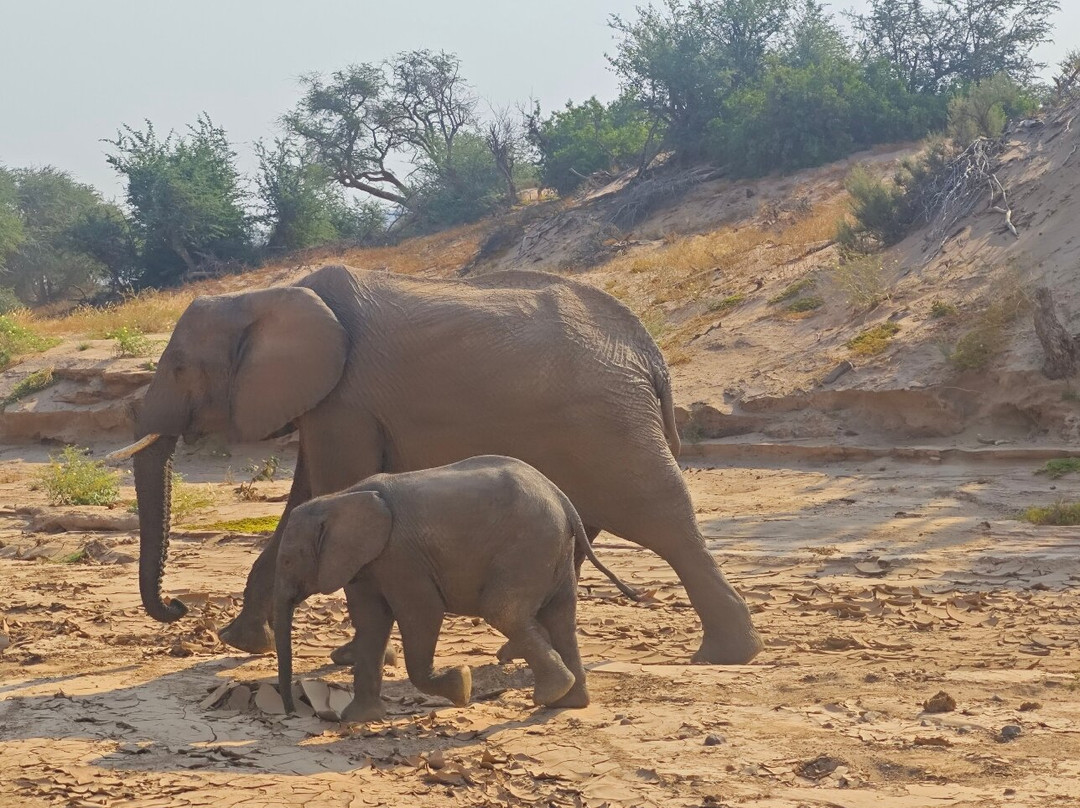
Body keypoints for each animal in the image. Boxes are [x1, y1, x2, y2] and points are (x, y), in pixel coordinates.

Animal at [118, 263, 763, 665]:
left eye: (179, 367)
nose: (176, 608)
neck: (270, 293)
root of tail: (651, 355)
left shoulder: (346, 399)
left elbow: (331, 489)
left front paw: (344, 656)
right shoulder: (331, 404)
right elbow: (308, 498)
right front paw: (242, 642)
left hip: (609, 424)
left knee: (662, 522)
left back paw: (726, 655)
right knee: (588, 523)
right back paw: (517, 652)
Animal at [275, 455, 627, 720]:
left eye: (289, 561)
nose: (291, 711)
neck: (339, 498)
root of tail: (562, 498)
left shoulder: (401, 557)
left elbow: (422, 614)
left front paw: (462, 685)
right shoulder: (366, 564)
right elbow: (372, 623)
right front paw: (358, 720)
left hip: (527, 548)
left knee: (502, 612)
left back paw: (551, 693)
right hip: (553, 552)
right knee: (560, 617)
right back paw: (568, 701)